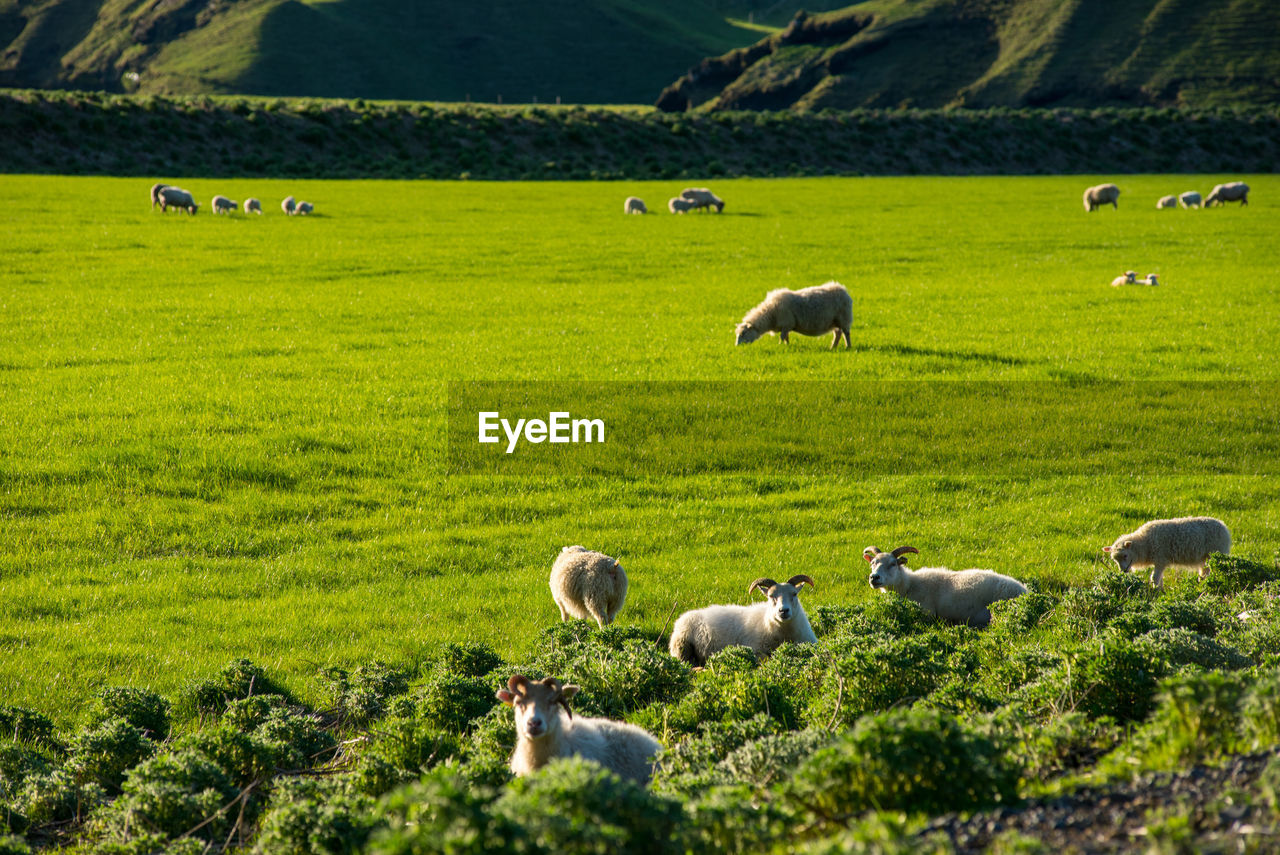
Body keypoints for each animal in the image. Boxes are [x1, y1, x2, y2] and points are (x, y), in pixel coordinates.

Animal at [665, 573, 814, 665]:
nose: (783, 611)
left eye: (794, 594)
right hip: (682, 646)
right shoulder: (755, 649)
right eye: (771, 596)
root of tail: (680, 619)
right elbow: (765, 658)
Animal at [860, 547, 1029, 627]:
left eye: (893, 564)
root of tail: (1025, 591)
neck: (909, 584)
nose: (874, 577)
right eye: (872, 563)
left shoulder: (926, 612)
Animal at [1100, 514, 1228, 588]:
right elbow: (1158, 578)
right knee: (1204, 572)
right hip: (1204, 558)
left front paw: (1155, 591)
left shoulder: (1160, 559)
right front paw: (1159, 591)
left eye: (1125, 555)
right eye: (1115, 560)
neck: (1144, 543)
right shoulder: (1159, 561)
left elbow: (1154, 578)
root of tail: (1223, 525)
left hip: (1216, 553)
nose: (1124, 571)